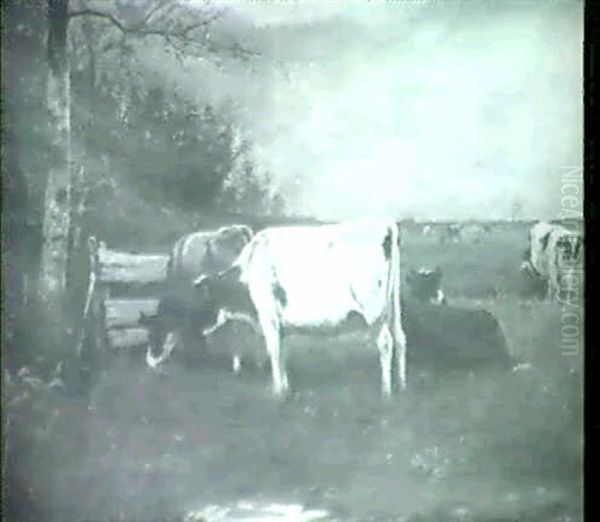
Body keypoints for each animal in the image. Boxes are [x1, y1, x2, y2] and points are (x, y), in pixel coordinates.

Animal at [195, 218, 410, 394]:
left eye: (206, 298)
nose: (201, 331)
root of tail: (383, 222)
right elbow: (283, 351)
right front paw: (286, 387)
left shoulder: (268, 313)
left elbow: (274, 350)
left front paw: (278, 392)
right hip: (392, 305)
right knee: (400, 338)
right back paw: (401, 385)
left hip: (375, 311)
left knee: (385, 342)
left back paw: (386, 392)